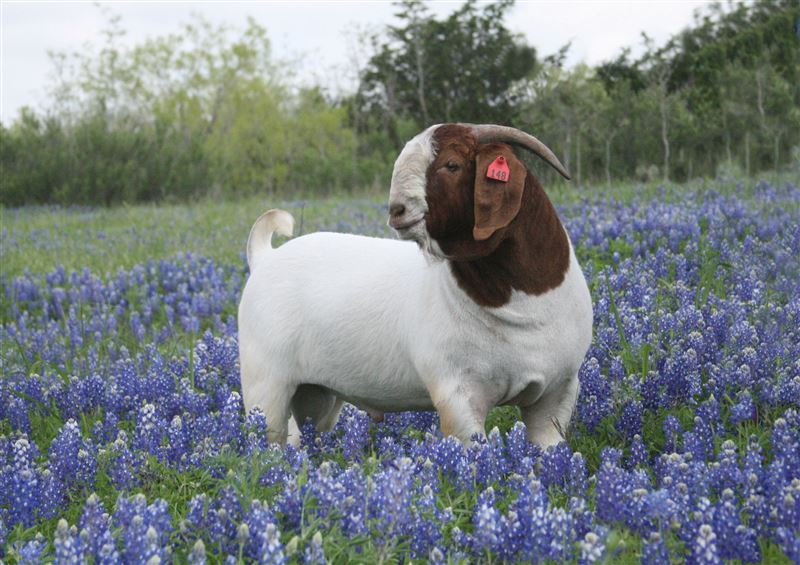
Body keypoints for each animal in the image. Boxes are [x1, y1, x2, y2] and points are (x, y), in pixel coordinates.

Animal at [238, 123, 592, 447]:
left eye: (452, 164)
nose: (397, 210)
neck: (517, 306)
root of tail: (265, 257)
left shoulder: (557, 393)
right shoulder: (458, 394)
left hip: (316, 396)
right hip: (265, 389)